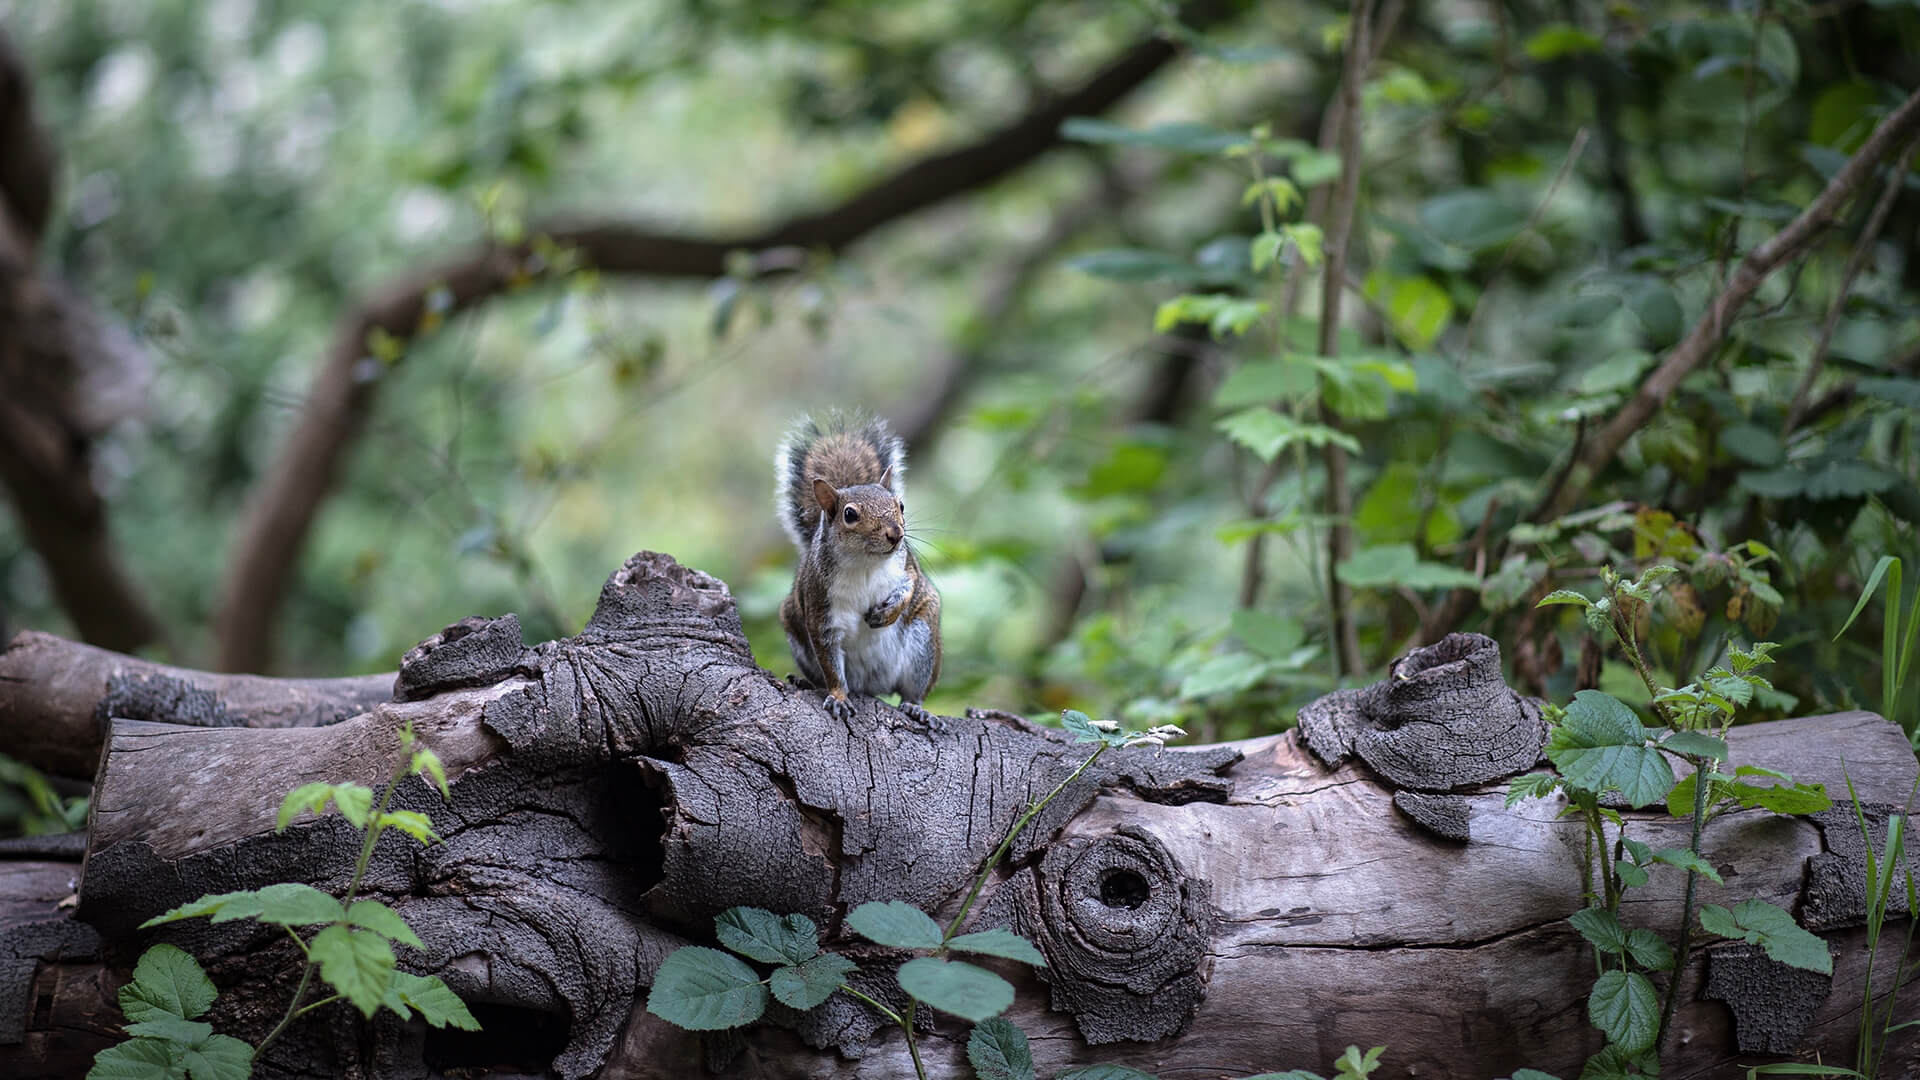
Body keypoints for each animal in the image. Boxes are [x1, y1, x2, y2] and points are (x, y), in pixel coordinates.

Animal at [771, 417, 936, 718]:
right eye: (850, 514)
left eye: (900, 505)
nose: (896, 534)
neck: (865, 562)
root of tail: (872, 685)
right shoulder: (820, 610)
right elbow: (831, 667)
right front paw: (838, 696)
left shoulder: (906, 565)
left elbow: (910, 585)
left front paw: (887, 613)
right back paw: (807, 682)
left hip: (923, 641)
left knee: (914, 691)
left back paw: (916, 708)